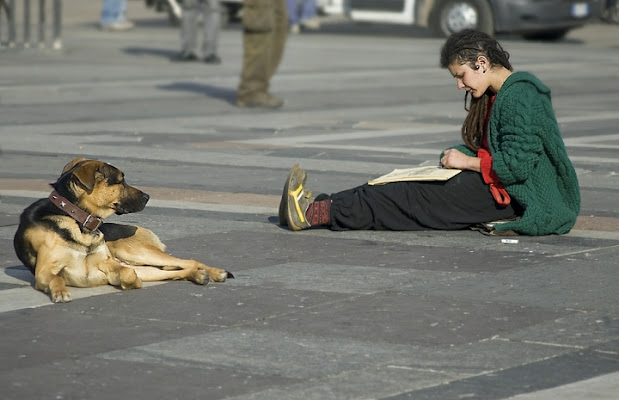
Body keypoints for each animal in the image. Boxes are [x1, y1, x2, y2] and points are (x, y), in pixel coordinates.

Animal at [13, 158, 234, 302]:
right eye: (120, 181)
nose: (148, 196)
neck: (76, 219)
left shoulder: (109, 262)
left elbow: (127, 274)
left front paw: (130, 283)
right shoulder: (43, 271)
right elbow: (57, 277)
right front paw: (60, 292)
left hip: (135, 252)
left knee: (188, 262)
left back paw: (214, 273)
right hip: (143, 263)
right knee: (174, 270)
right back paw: (199, 275)